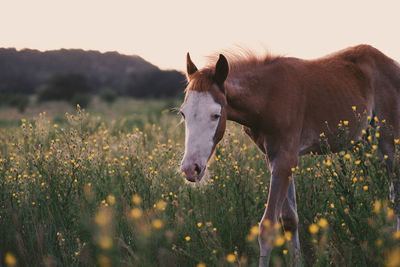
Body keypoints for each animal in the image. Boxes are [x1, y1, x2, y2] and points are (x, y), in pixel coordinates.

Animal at [179, 45, 400, 266]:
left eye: (216, 114)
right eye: (183, 113)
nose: (191, 168)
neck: (268, 96)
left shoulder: (285, 159)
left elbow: (267, 227)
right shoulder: (276, 160)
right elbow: (289, 220)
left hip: (389, 144)